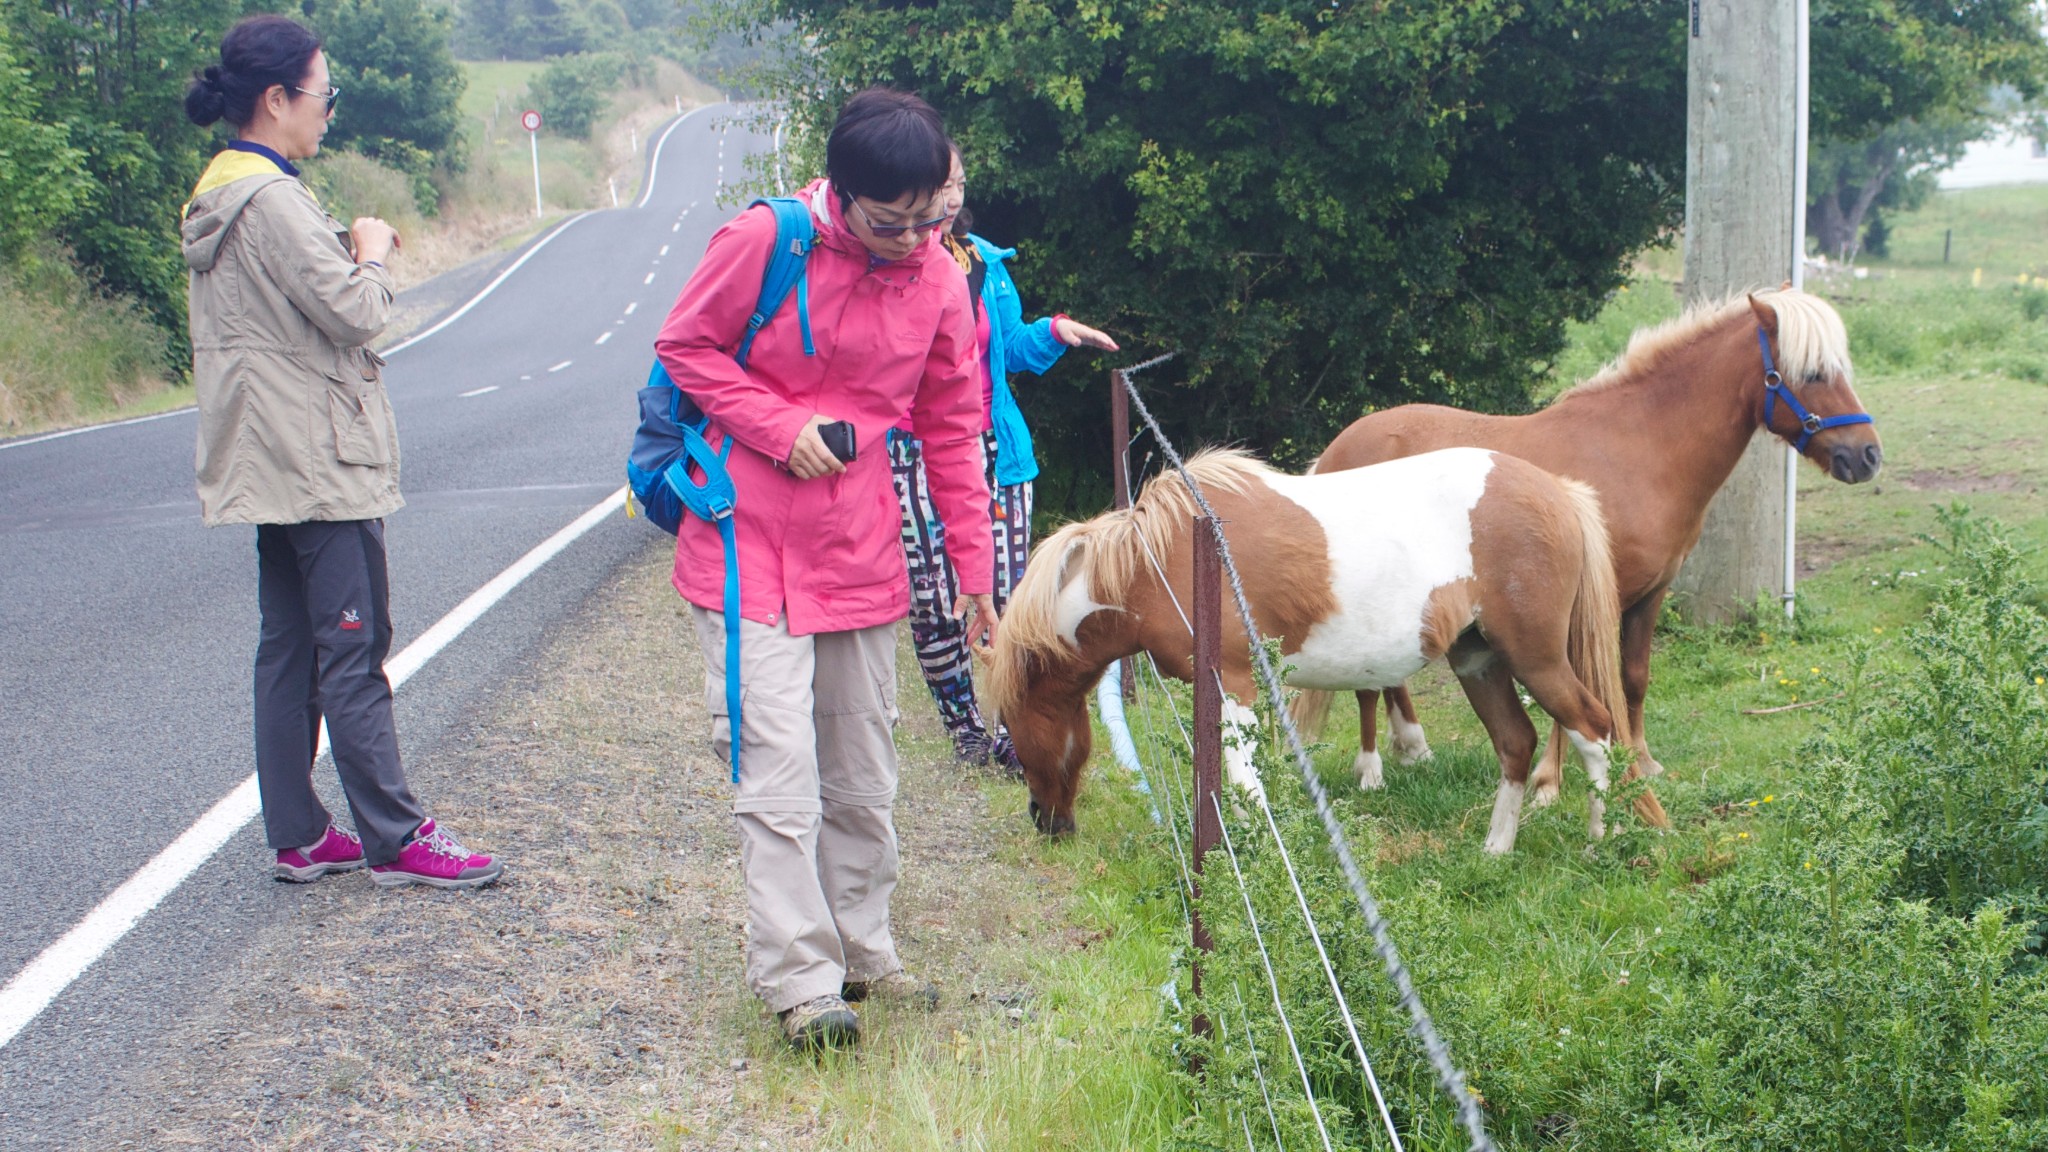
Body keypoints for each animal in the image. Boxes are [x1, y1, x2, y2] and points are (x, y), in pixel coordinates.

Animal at [983, 444, 1671, 848]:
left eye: (1012, 734)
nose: (1044, 821)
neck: (1159, 562)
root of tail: (1560, 492)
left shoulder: (1233, 685)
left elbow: (1245, 787)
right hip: (1478, 660)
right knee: (1516, 742)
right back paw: (1496, 848)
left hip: (1537, 659)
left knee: (1593, 728)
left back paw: (1599, 838)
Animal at [1302, 289, 1875, 799]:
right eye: (1813, 373)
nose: (1867, 454)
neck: (1638, 450)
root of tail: (1336, 448)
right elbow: (1577, 693)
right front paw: (1549, 783)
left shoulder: (1648, 595)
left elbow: (1633, 679)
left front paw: (1641, 761)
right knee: (1367, 683)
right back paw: (1371, 770)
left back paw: (1412, 748)